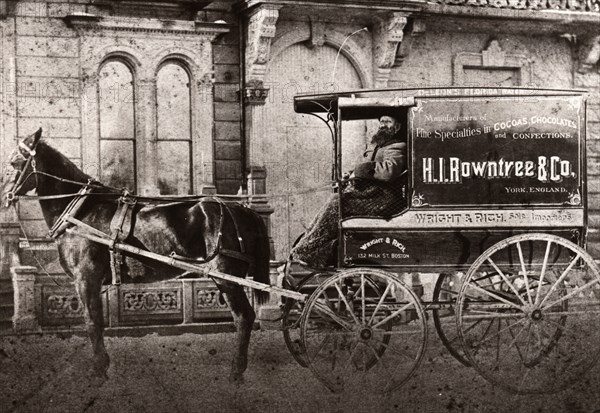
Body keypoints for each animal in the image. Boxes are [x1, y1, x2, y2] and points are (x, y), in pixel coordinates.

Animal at [0, 130, 270, 384]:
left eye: (14, 162)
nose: (4, 199)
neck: (81, 211)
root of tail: (241, 209)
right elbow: (97, 321)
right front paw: (103, 365)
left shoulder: (86, 278)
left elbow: (92, 322)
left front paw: (98, 370)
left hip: (227, 277)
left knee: (244, 317)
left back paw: (236, 372)